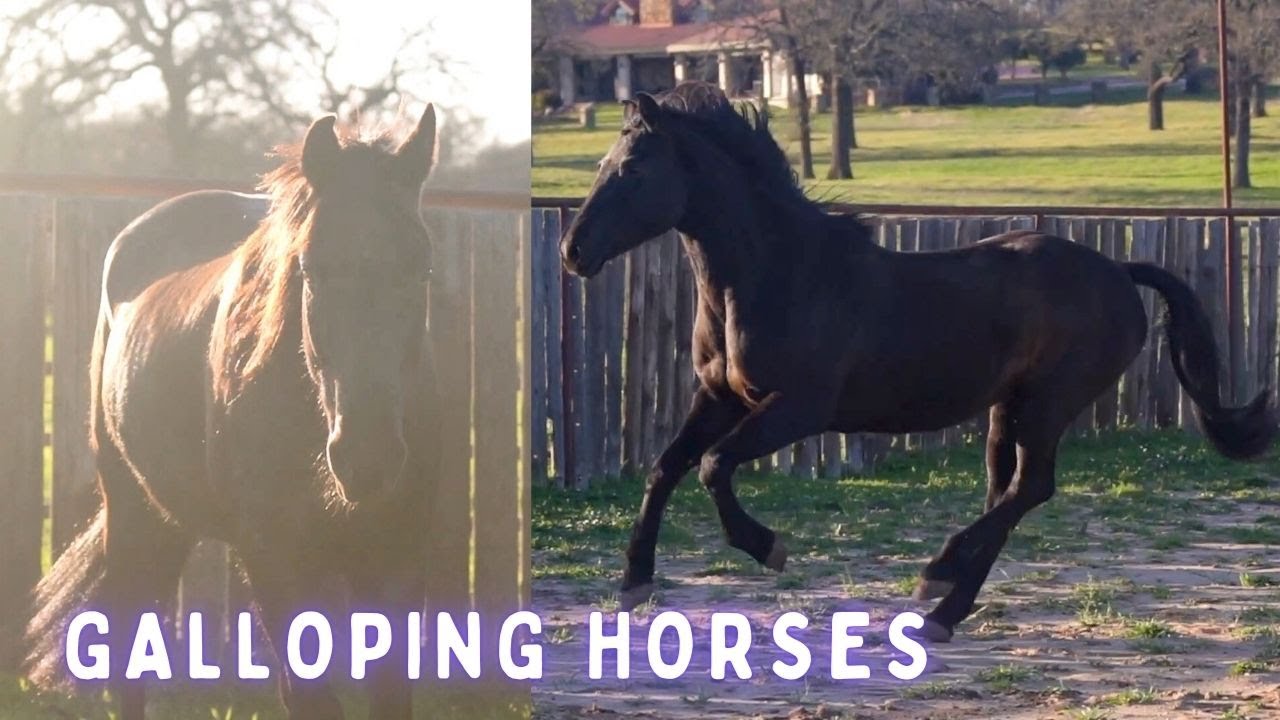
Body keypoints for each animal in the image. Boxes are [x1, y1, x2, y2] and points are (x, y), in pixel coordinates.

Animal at [24, 106, 441, 719]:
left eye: (421, 268)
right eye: (311, 269)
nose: (368, 456)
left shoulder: (398, 558)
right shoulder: (275, 560)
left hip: (168, 518)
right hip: (130, 509)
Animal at [558, 81, 1276, 643]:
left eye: (633, 169)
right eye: (604, 162)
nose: (573, 251)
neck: (775, 276)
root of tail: (1119, 271)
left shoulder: (797, 409)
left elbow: (711, 466)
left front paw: (769, 547)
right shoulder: (719, 398)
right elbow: (666, 469)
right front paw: (633, 583)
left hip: (1050, 402)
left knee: (1032, 488)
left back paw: (938, 575)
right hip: (1007, 409)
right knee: (1009, 491)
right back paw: (943, 609)